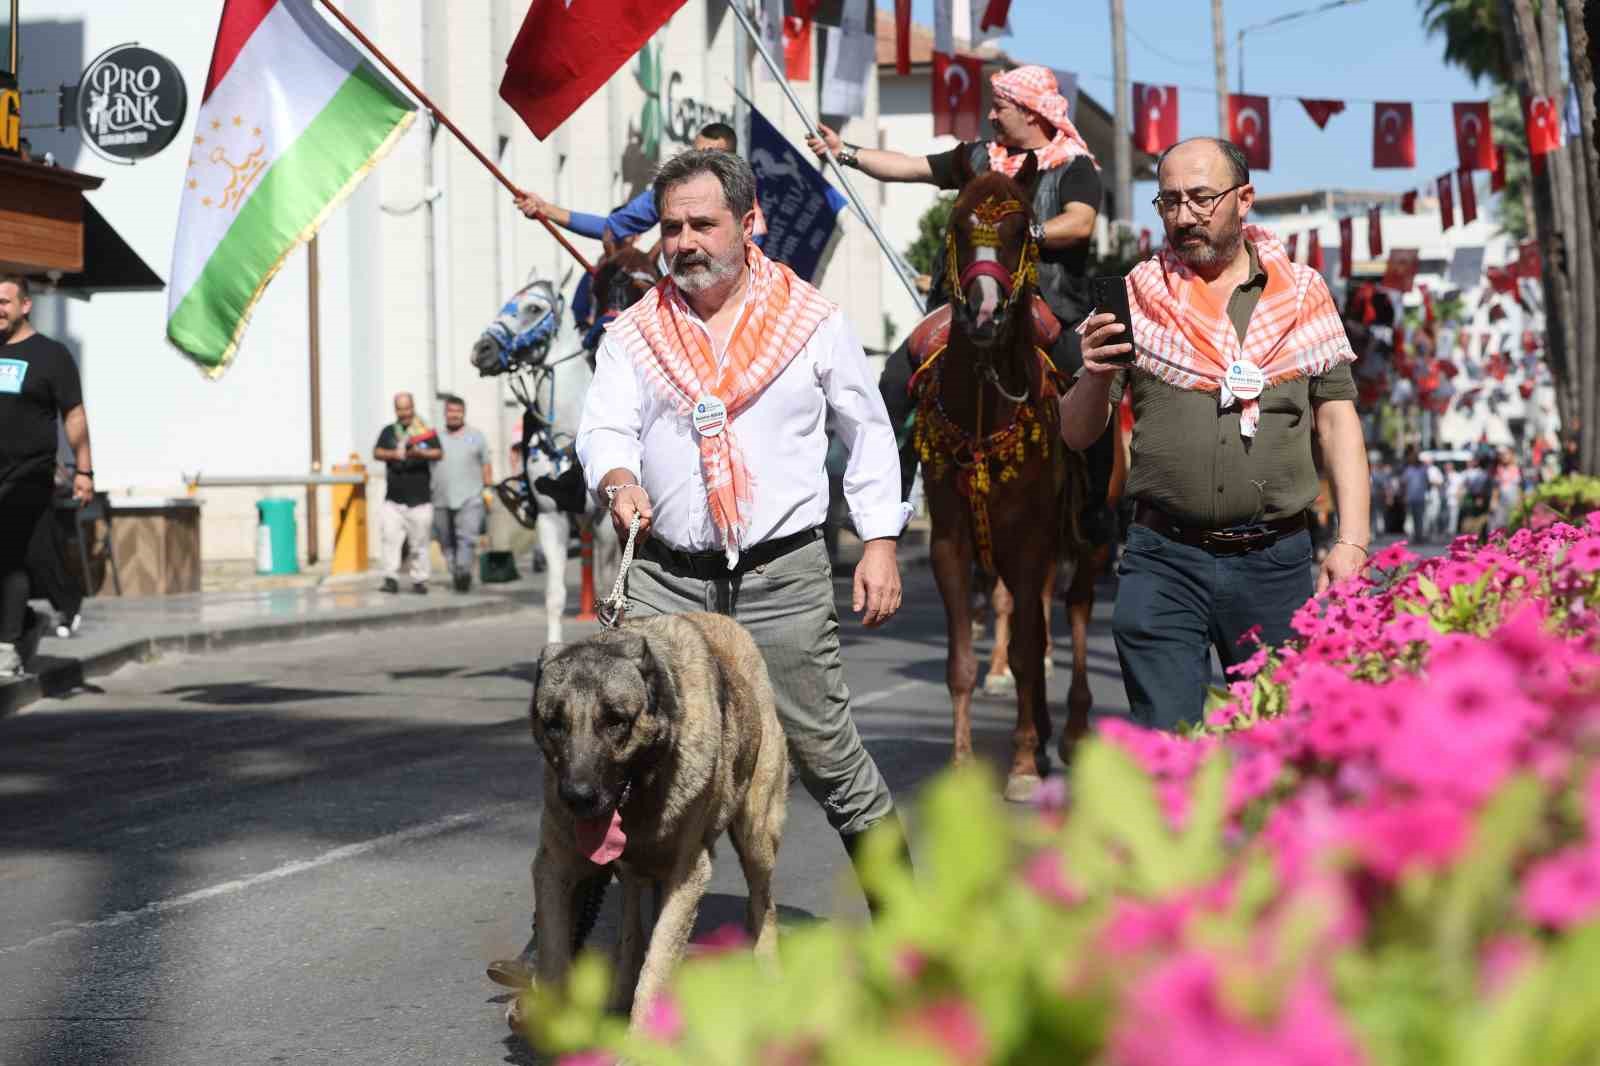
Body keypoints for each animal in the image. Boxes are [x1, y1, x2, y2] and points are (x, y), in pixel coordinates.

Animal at [921, 156, 1094, 797]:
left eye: (1024, 231)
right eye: (956, 225)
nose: (984, 314)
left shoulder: (1031, 539)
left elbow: (1025, 650)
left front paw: (1020, 765)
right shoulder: (950, 542)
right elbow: (962, 662)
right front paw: (963, 766)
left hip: (1089, 540)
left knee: (1075, 613)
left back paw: (1068, 732)